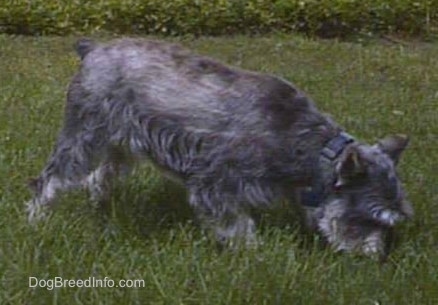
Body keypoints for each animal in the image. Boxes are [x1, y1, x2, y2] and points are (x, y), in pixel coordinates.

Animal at [24, 37, 414, 256]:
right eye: (372, 218)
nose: (375, 257)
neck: (306, 145)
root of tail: (93, 50)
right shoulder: (215, 184)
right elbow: (238, 226)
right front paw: (255, 256)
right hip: (83, 136)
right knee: (50, 179)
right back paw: (37, 218)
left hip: (122, 145)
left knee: (100, 175)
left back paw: (100, 203)